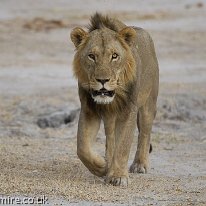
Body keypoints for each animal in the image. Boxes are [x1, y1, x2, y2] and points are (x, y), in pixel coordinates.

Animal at [70, 12, 159, 187]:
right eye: (91, 56)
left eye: (114, 56)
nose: (102, 80)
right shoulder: (89, 110)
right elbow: (82, 147)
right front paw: (101, 167)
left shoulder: (128, 110)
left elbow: (123, 145)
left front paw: (118, 176)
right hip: (110, 118)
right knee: (110, 138)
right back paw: (108, 162)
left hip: (148, 104)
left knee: (145, 133)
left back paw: (140, 164)